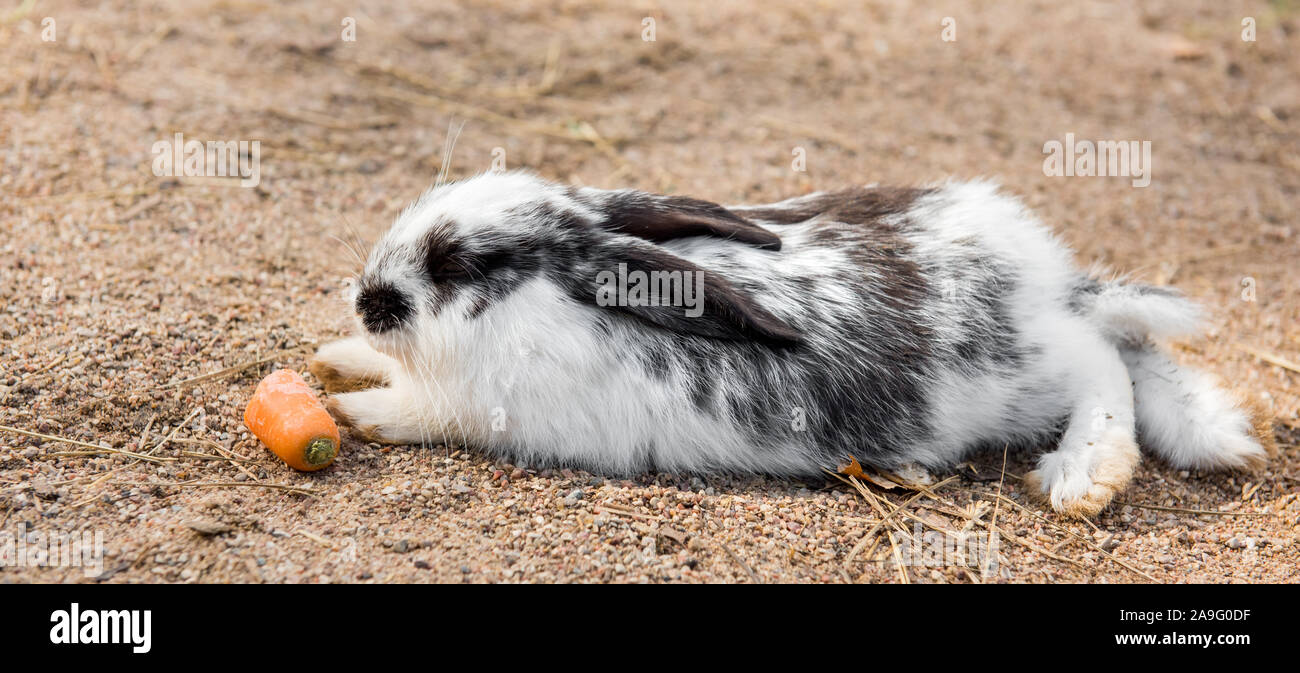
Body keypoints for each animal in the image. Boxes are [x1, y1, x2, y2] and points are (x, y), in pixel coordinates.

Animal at [309, 171, 1274, 519]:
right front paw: (335, 357)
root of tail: (1051, 286)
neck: (542, 302)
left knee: (1108, 366)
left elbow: (405, 409)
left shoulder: (467, 408)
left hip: (1033, 371)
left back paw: (1084, 476)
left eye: (459, 263)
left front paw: (348, 410)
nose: (367, 299)